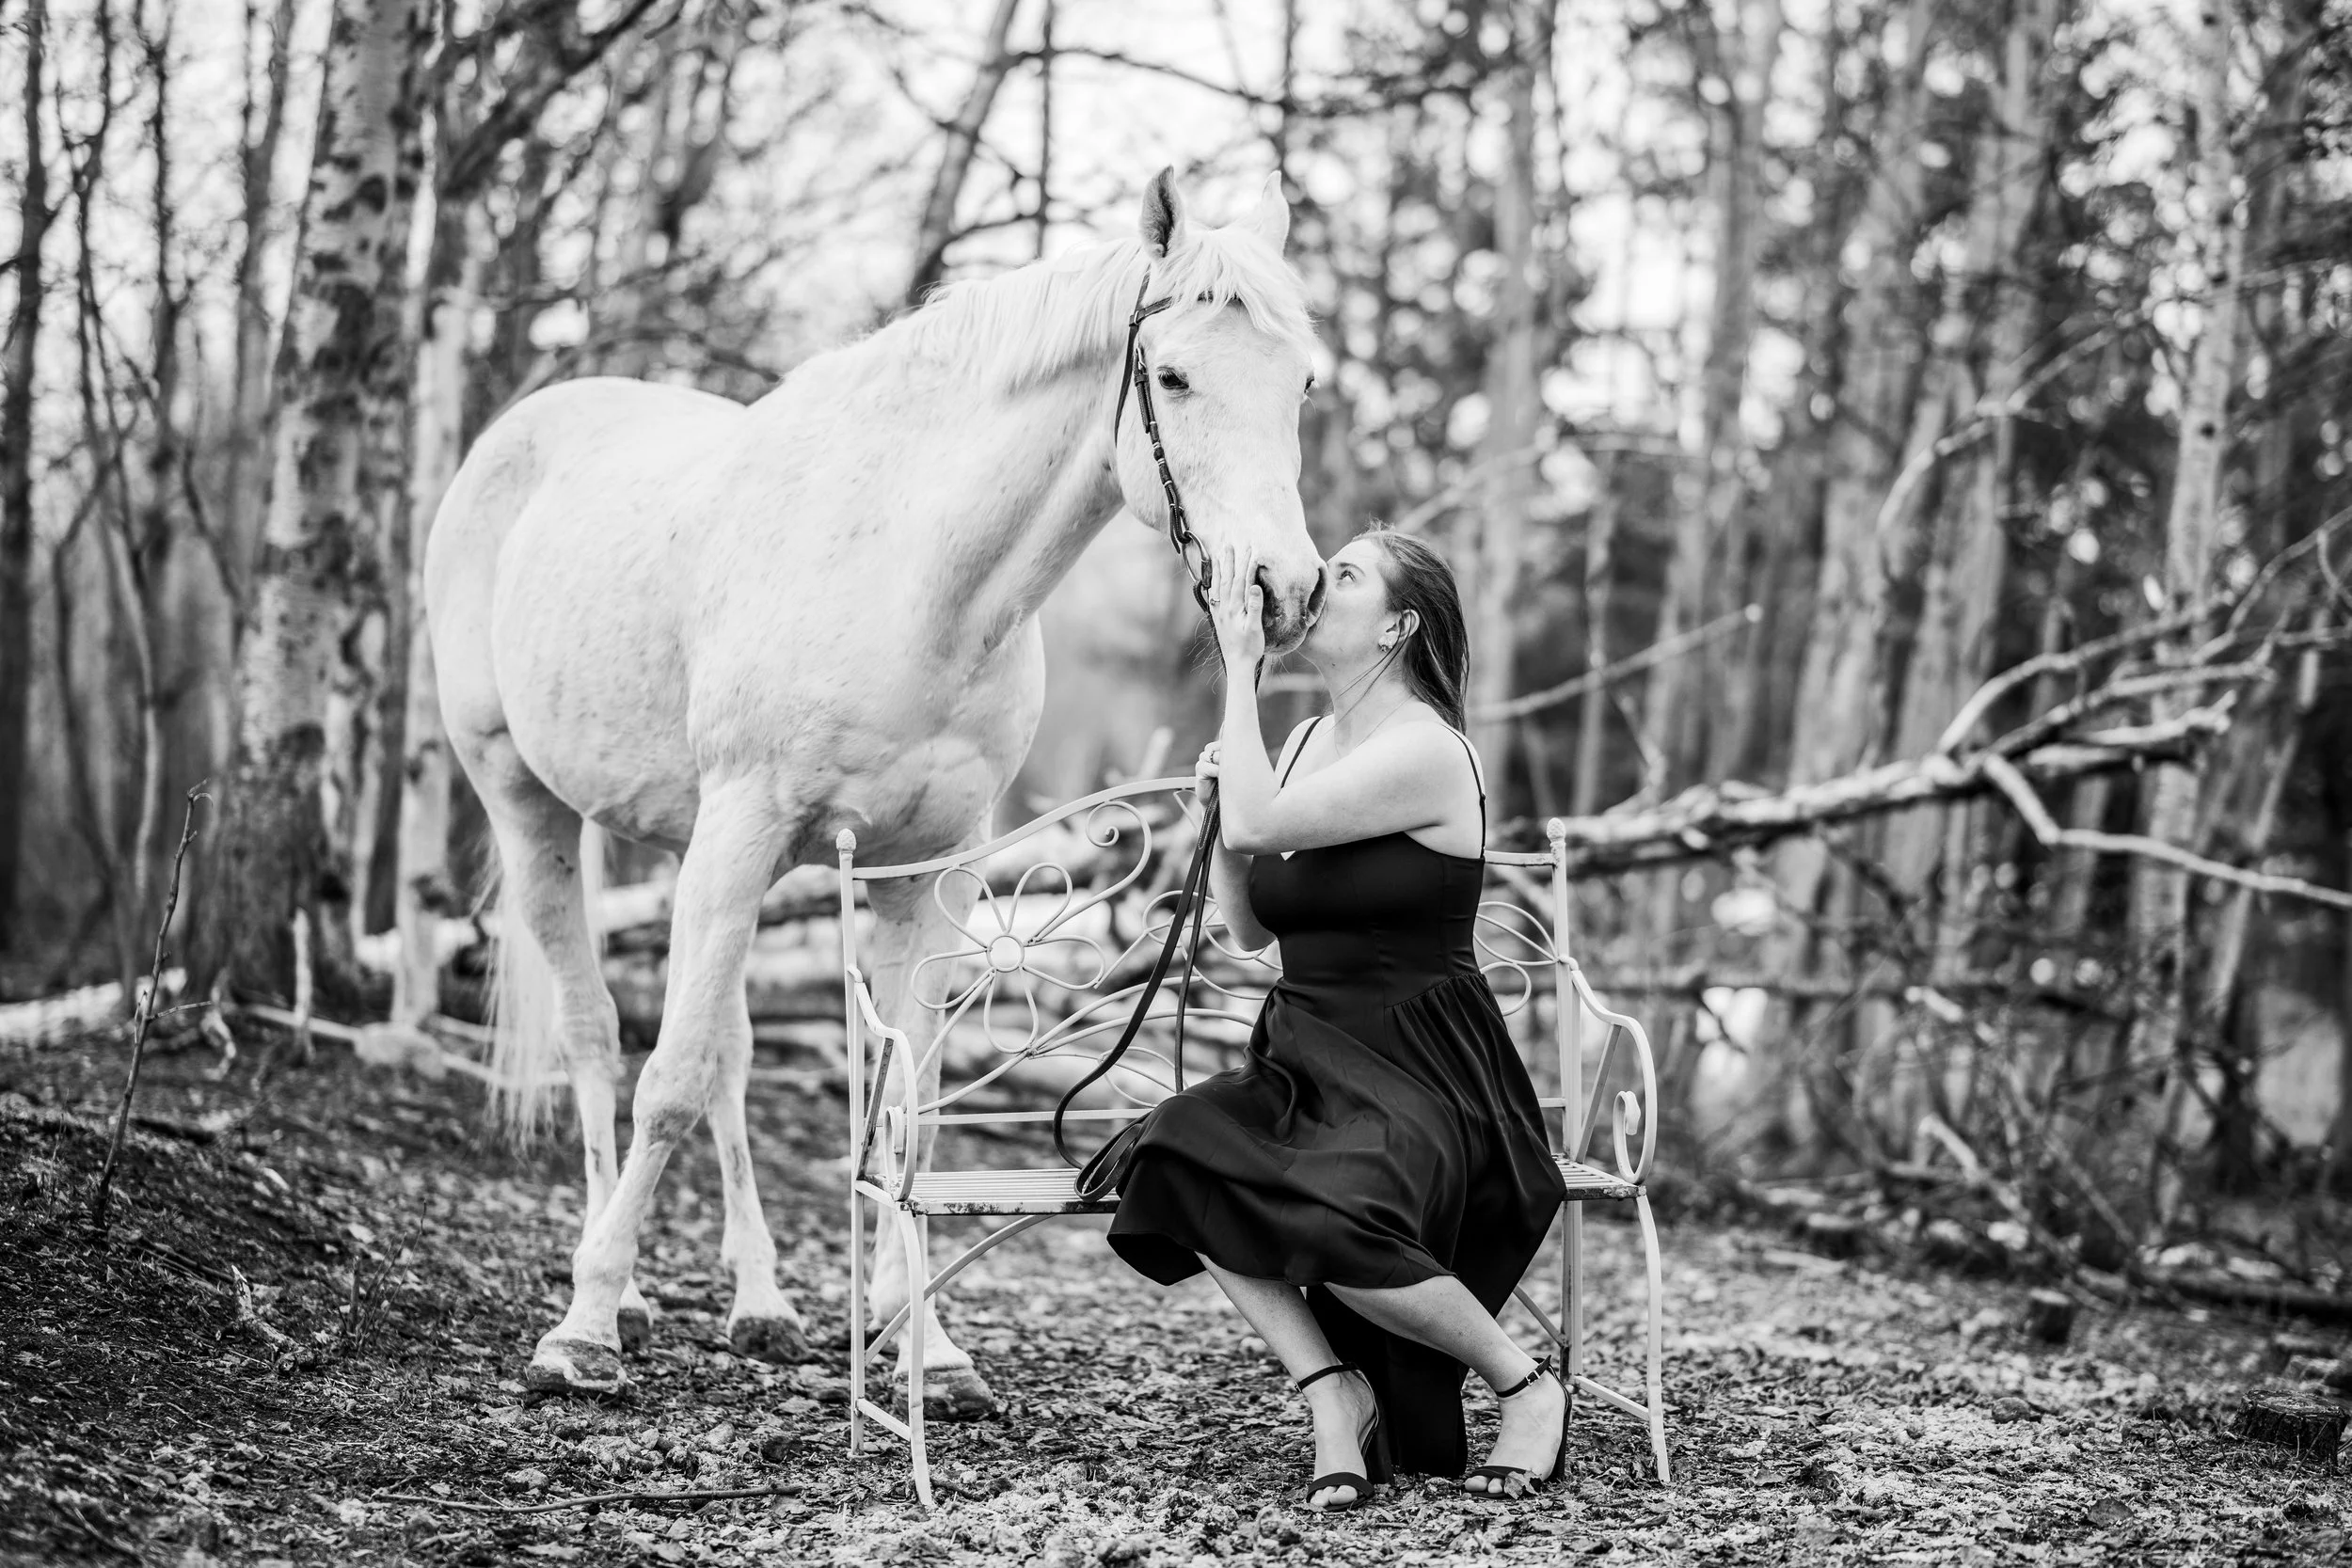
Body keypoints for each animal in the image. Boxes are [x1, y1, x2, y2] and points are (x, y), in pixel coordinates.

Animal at [424, 169, 1325, 1412]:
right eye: (1178, 375)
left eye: (1301, 382)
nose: (1285, 592)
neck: (912, 580)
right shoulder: (742, 831)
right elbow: (666, 1078)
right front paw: (584, 1331)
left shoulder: (926, 875)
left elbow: (907, 1109)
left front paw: (927, 1346)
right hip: (531, 806)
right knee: (599, 1038)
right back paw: (620, 1294)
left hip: (691, 849)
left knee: (729, 1052)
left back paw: (758, 1301)